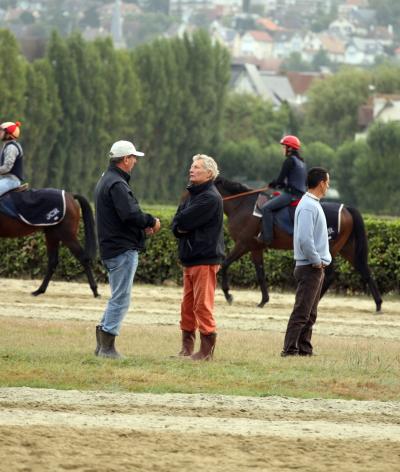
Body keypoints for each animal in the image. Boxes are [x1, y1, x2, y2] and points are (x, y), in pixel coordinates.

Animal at [214, 175, 382, 312]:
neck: (241, 204)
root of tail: (345, 208)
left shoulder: (243, 244)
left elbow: (225, 264)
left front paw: (228, 295)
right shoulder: (255, 248)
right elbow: (260, 274)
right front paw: (263, 300)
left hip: (330, 249)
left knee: (328, 276)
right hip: (347, 249)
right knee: (365, 270)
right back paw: (378, 305)